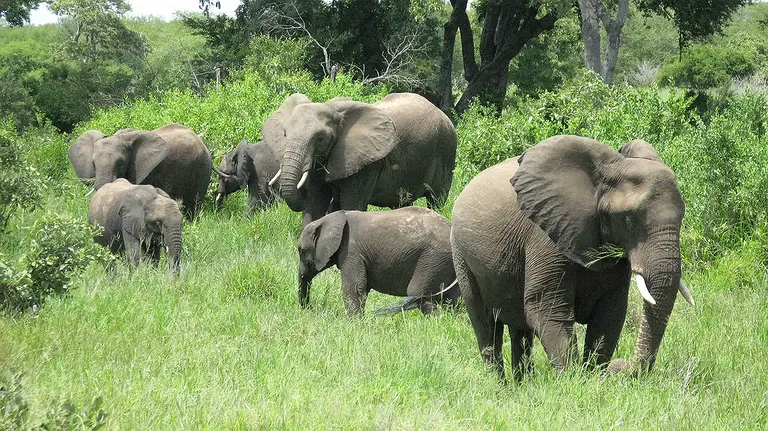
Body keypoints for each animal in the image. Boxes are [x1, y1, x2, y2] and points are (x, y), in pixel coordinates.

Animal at [264, 92, 457, 226]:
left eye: (320, 139)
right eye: (284, 134)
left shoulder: (366, 164)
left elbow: (351, 204)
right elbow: (315, 203)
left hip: (447, 150)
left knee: (436, 199)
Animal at [297, 206, 460, 316]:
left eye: (301, 250)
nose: (309, 309)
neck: (330, 219)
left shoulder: (351, 250)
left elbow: (354, 287)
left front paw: (355, 325)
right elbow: (363, 288)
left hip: (433, 257)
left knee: (418, 293)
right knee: (452, 296)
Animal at [450, 135, 695, 380]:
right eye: (628, 219)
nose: (621, 367)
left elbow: (610, 314)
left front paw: (593, 377)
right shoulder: (546, 234)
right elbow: (547, 308)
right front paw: (572, 380)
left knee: (520, 330)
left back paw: (523, 384)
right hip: (460, 253)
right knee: (485, 324)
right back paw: (499, 383)